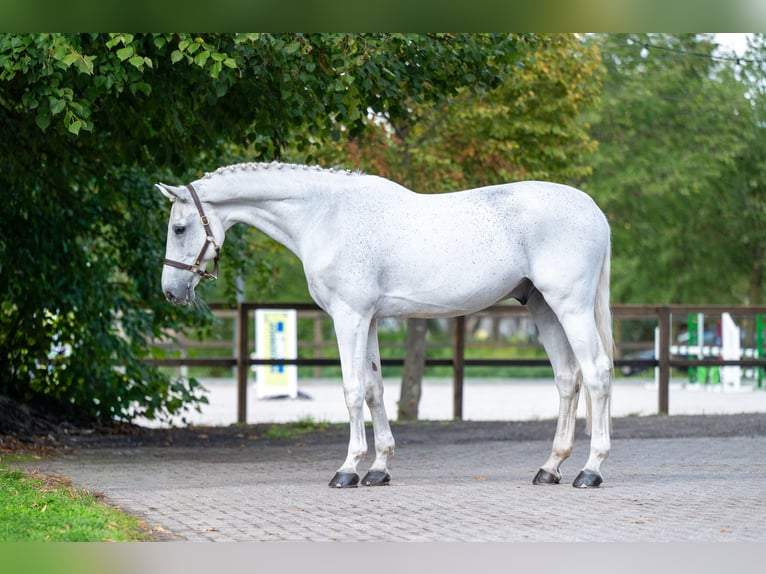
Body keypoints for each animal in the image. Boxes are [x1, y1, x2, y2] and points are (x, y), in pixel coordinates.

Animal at [159, 162, 613, 489]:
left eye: (179, 228)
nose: (170, 291)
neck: (326, 216)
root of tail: (594, 212)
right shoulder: (372, 319)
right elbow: (375, 390)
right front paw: (378, 469)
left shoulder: (350, 317)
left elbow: (352, 390)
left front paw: (347, 469)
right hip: (543, 308)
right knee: (568, 379)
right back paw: (550, 468)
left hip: (570, 308)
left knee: (596, 374)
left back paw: (590, 471)